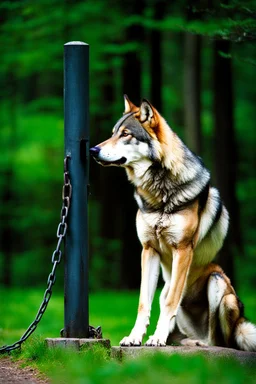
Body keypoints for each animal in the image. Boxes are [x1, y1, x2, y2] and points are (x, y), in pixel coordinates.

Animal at [90, 96, 256, 352]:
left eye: (126, 134)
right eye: (113, 133)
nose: (93, 150)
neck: (160, 191)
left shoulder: (183, 250)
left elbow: (170, 304)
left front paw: (157, 339)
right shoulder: (148, 250)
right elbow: (143, 303)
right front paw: (135, 338)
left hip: (219, 286)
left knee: (219, 340)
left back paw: (196, 342)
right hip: (168, 289)